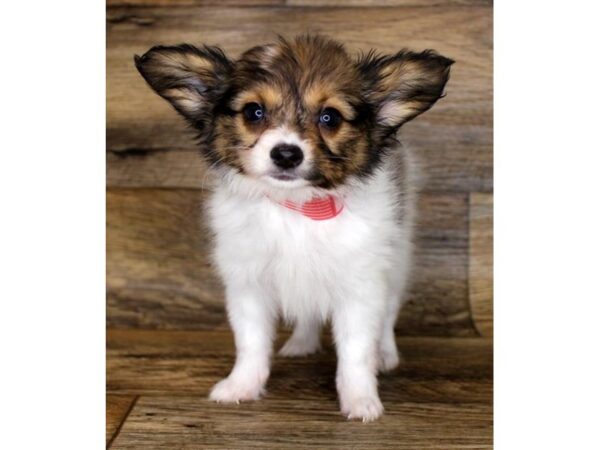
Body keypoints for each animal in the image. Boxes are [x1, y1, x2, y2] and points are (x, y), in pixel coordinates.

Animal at [136, 35, 452, 422]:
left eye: (329, 117)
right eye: (254, 112)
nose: (286, 154)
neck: (299, 209)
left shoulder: (361, 286)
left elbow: (356, 351)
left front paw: (361, 399)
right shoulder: (247, 283)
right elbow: (250, 342)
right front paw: (241, 386)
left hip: (398, 257)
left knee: (389, 311)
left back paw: (386, 354)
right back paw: (301, 342)